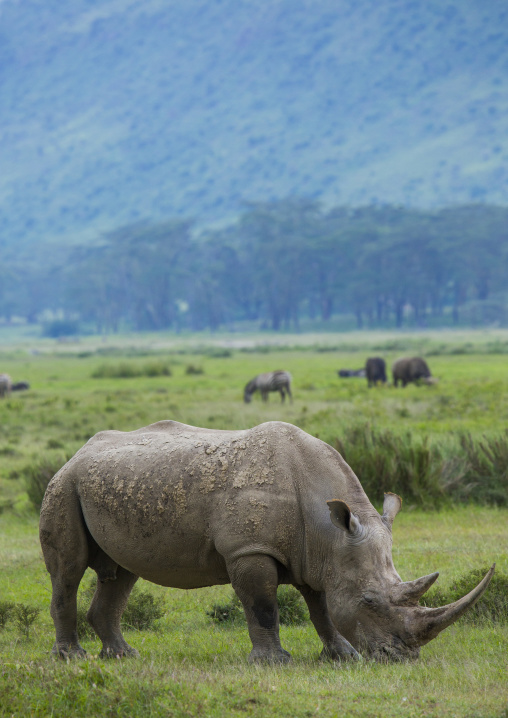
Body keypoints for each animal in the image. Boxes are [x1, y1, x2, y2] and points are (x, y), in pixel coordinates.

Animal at [39, 420, 494, 663]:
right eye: (368, 601)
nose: (400, 658)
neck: (330, 530)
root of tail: (76, 452)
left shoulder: (320, 556)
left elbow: (322, 609)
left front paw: (341, 656)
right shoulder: (250, 549)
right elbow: (263, 605)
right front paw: (274, 663)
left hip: (104, 486)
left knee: (121, 574)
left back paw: (123, 656)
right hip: (63, 486)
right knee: (69, 572)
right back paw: (72, 658)